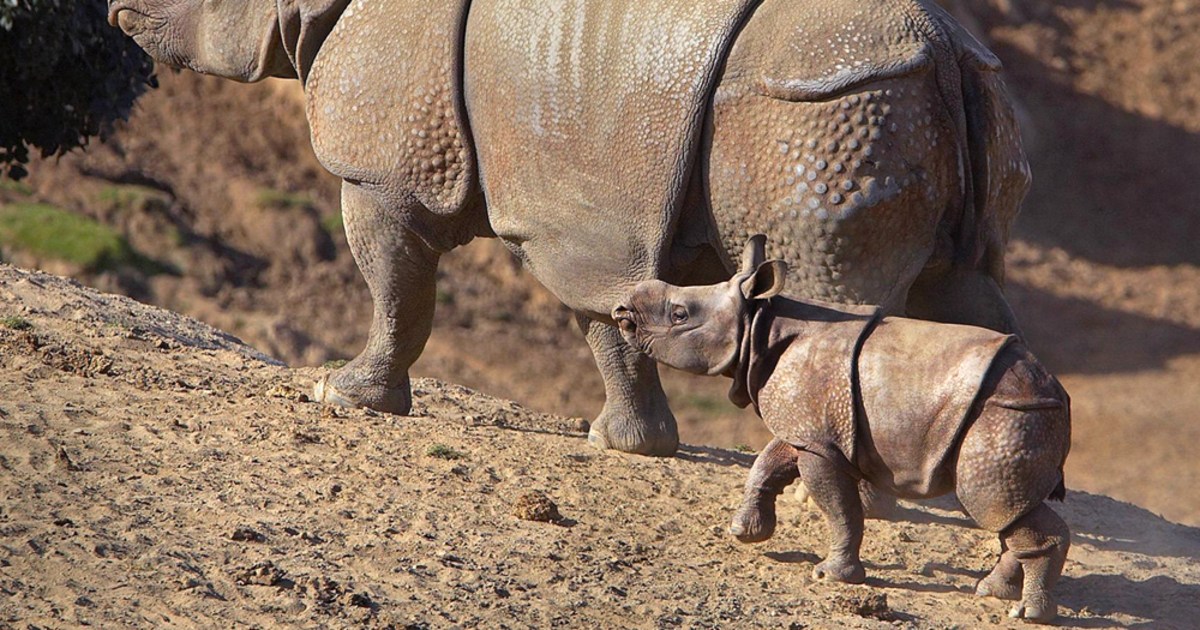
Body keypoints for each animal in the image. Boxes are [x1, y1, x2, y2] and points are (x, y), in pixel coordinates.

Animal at [107, 0, 1030, 456]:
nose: (118, 6)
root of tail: (946, 45)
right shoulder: (583, 208)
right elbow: (611, 314)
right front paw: (630, 445)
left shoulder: (391, 167)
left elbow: (395, 283)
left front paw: (344, 395)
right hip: (924, 97)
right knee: (967, 293)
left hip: (826, 105)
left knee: (833, 294)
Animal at [612, 236, 1071, 623]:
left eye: (679, 315)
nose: (621, 313)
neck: (759, 325)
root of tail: (1057, 395)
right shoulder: (808, 426)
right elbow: (768, 463)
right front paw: (746, 533)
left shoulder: (820, 441)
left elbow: (838, 506)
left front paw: (830, 576)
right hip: (1015, 412)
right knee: (1008, 511)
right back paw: (993, 592)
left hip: (1006, 415)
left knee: (990, 501)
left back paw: (1026, 613)